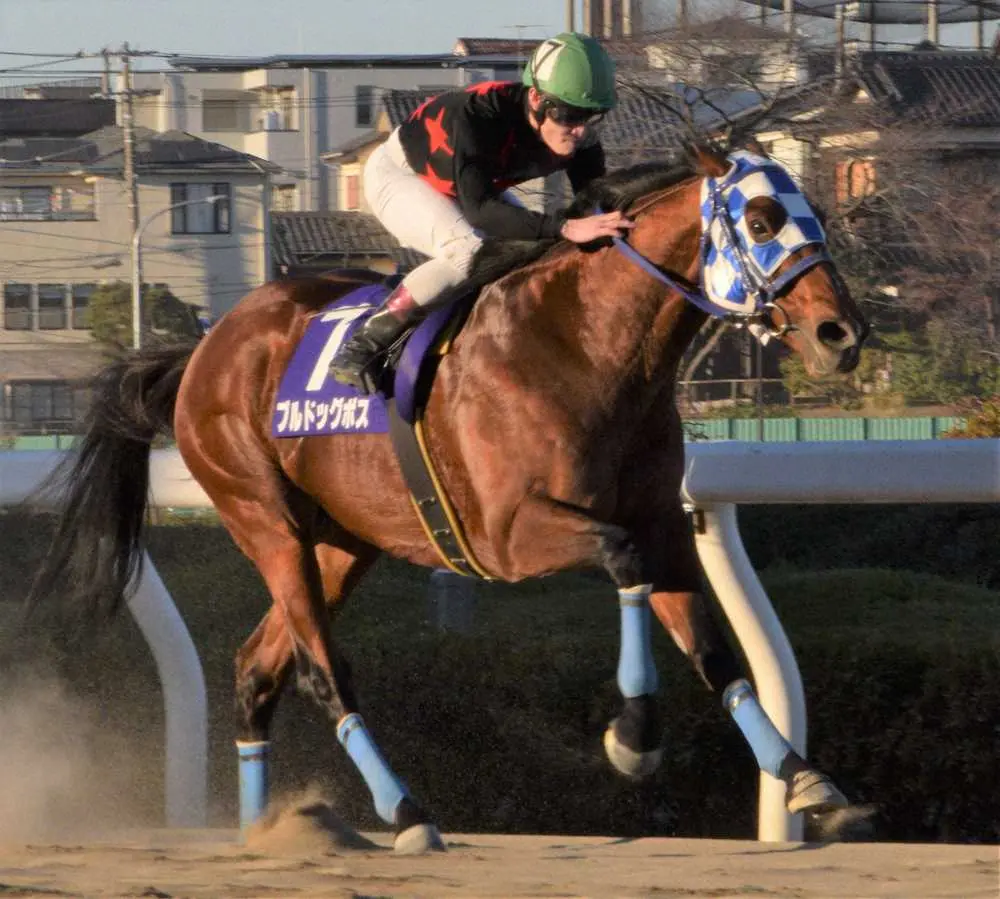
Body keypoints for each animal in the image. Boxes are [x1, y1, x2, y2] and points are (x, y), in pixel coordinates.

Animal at [28, 143, 869, 853]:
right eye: (761, 219)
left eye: (819, 217)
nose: (843, 332)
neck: (584, 343)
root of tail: (204, 348)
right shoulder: (510, 534)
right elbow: (620, 557)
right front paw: (632, 737)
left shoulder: (662, 521)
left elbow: (714, 649)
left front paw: (808, 780)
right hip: (263, 517)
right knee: (320, 668)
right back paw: (406, 813)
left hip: (344, 541)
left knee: (257, 666)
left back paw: (267, 829)